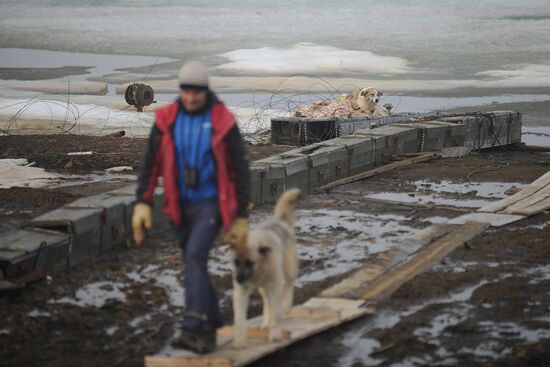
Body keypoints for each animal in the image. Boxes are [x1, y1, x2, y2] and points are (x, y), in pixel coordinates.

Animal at [232, 188, 304, 350]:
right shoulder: (242, 292)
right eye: (236, 262)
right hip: (263, 288)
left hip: (288, 270)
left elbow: (275, 311)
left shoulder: (275, 285)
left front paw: (275, 334)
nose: (238, 279)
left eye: (249, 262)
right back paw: (266, 322)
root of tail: (280, 220)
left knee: (288, 285)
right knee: (267, 302)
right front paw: (239, 341)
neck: (259, 269)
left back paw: (285, 308)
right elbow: (240, 318)